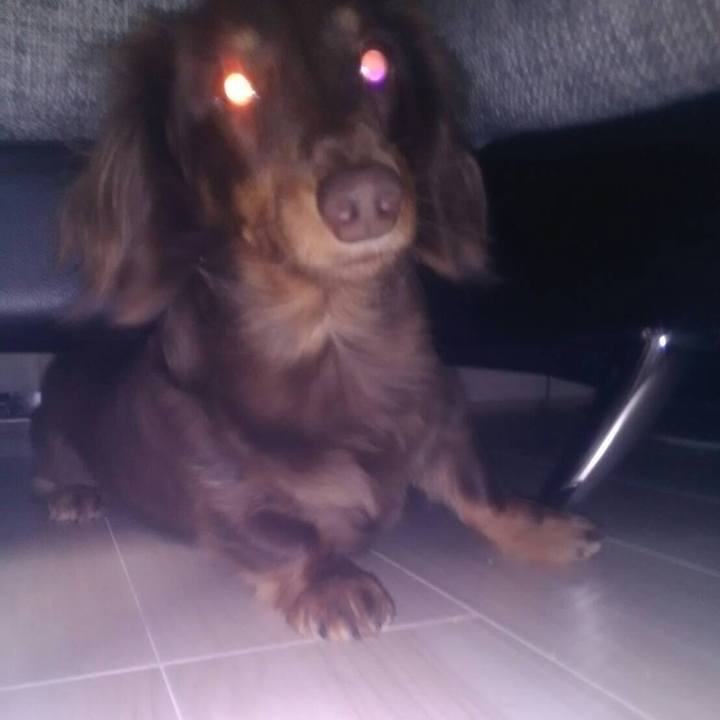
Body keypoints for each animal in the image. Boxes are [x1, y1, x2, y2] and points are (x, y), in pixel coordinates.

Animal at [32, 0, 600, 640]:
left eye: (375, 64)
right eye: (233, 86)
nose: (367, 200)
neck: (333, 333)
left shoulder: (446, 421)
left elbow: (480, 490)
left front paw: (541, 526)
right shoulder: (222, 501)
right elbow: (289, 537)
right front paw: (333, 584)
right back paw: (70, 494)